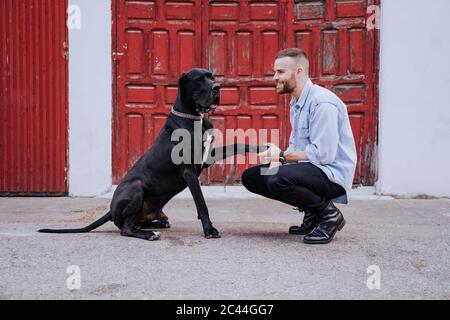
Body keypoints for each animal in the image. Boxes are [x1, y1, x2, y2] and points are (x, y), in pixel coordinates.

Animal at [39, 69, 268, 241]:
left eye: (211, 76)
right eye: (199, 79)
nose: (217, 87)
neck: (194, 117)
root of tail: (110, 210)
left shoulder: (207, 158)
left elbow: (237, 144)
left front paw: (262, 147)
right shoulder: (189, 171)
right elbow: (201, 202)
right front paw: (209, 230)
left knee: (137, 223)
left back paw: (157, 223)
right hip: (136, 187)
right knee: (126, 228)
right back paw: (150, 234)